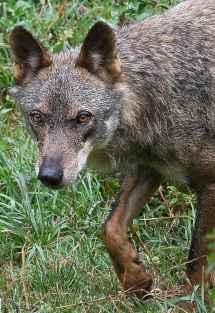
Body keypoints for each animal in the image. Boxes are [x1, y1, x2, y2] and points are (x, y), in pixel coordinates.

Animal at [9, 0, 215, 298]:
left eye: (82, 118)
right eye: (37, 118)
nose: (49, 176)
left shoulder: (210, 183)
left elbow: (196, 266)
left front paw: (191, 302)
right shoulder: (149, 166)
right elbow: (110, 229)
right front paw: (135, 279)